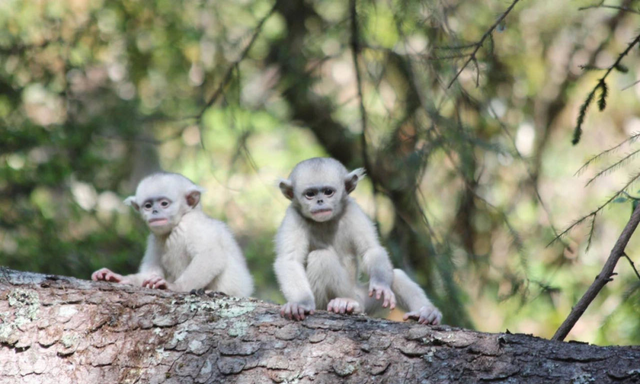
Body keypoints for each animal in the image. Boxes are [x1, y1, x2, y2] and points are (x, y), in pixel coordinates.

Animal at [91, 172, 254, 298]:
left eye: (164, 204)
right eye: (148, 206)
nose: (155, 211)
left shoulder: (193, 225)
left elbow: (211, 256)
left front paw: (176, 287)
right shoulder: (154, 238)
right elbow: (151, 272)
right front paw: (118, 278)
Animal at [272, 158, 442, 324]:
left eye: (328, 192)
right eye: (310, 194)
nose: (319, 201)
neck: (325, 222)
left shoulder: (353, 210)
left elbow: (371, 250)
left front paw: (380, 285)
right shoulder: (293, 217)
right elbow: (289, 260)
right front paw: (300, 303)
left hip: (364, 298)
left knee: (397, 276)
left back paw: (426, 312)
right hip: (328, 302)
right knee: (321, 257)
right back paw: (345, 304)